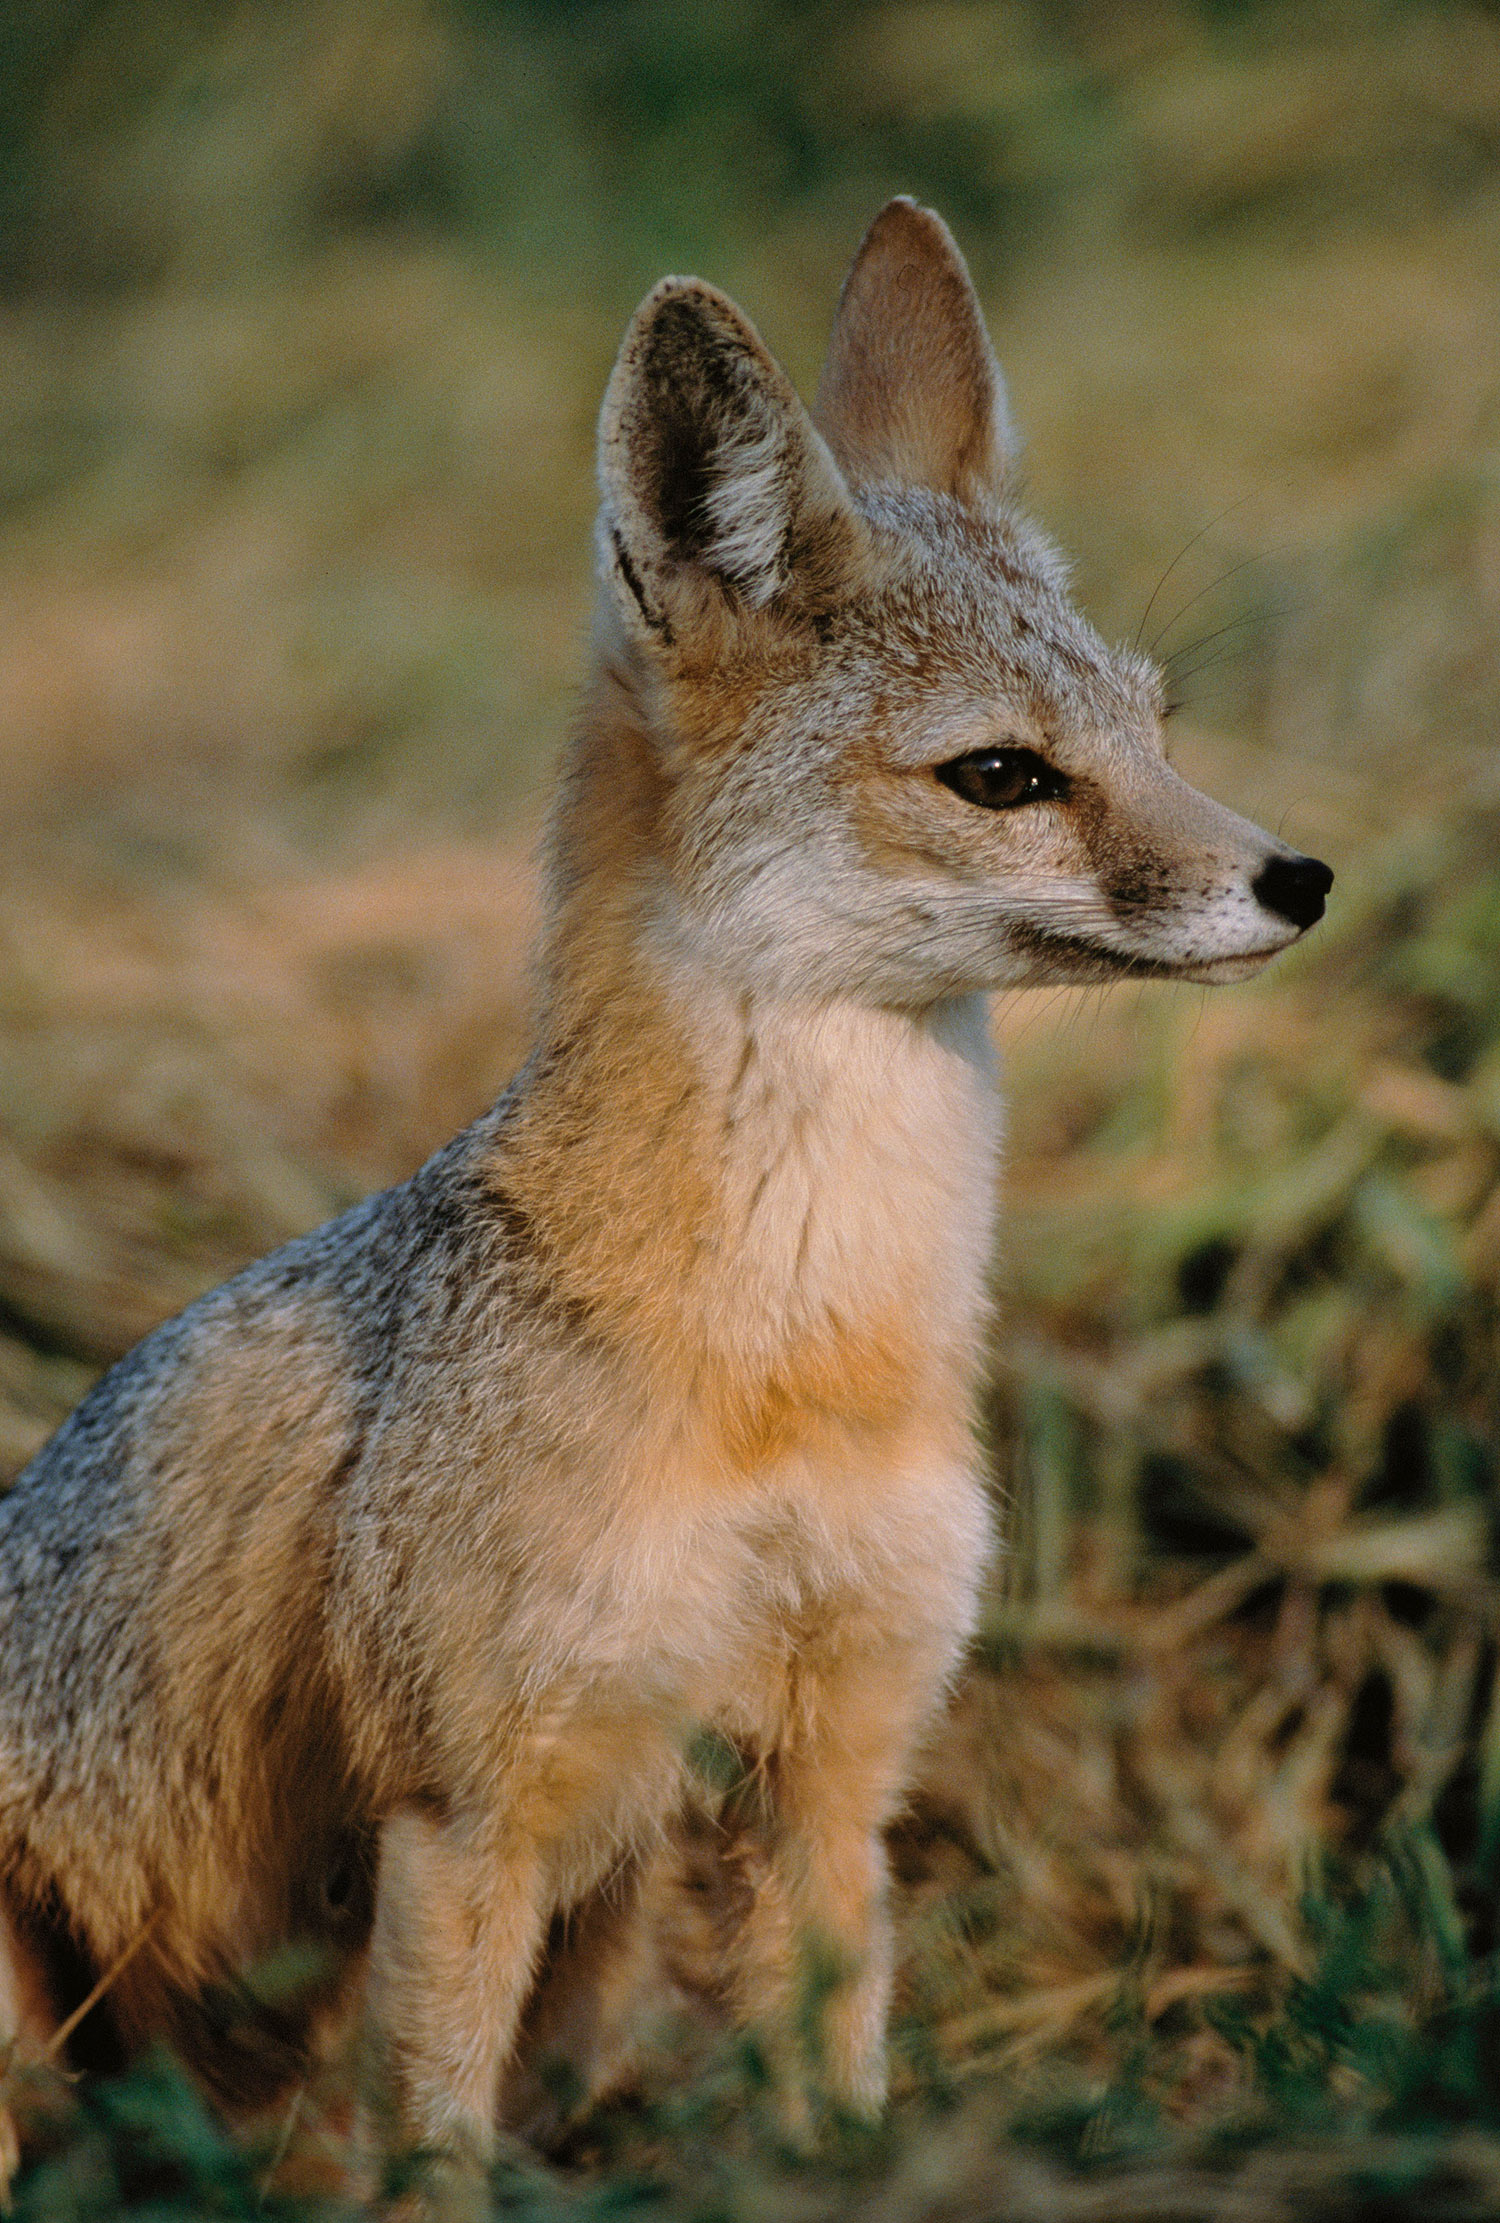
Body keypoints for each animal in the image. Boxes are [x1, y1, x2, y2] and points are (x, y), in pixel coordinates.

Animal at [0, 197, 1331, 2186]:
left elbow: (835, 2087)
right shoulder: (469, 1805)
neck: (796, 1353)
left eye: (1162, 726)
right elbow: (435, 2163)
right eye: (1003, 775)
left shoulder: (835, 1770)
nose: (1302, 877)